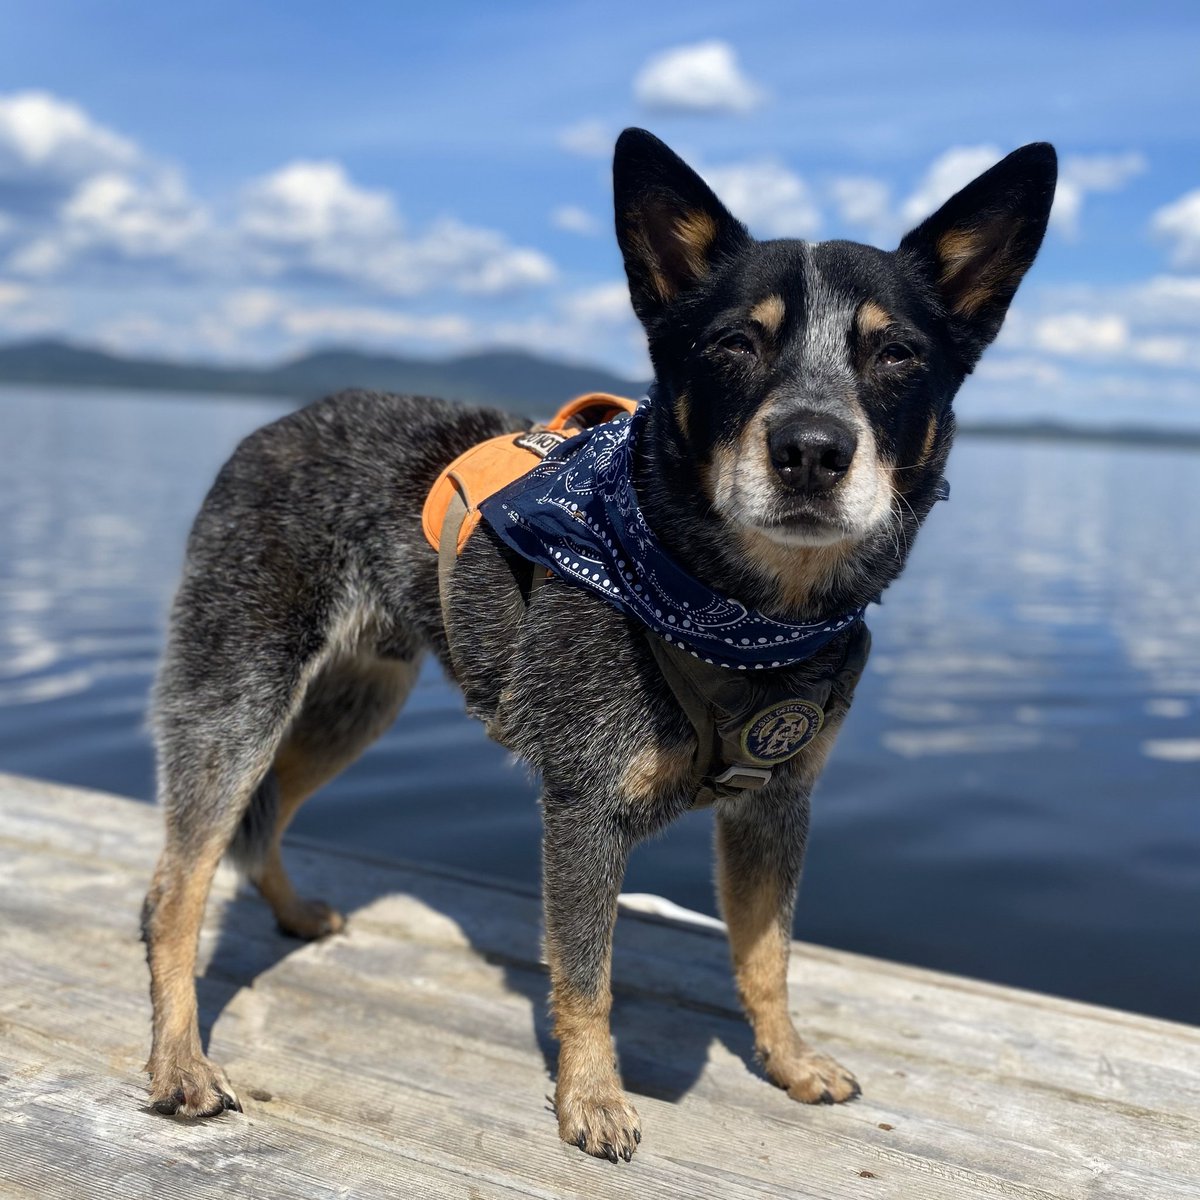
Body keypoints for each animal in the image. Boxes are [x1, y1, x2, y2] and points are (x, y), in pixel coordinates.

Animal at [140, 126, 1056, 1156]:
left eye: (896, 352)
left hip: (353, 702)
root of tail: (271, 427)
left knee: (259, 824)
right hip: (239, 692)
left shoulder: (777, 802)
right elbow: (586, 975)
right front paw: (592, 1098)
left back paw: (293, 912)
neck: (741, 614)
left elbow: (769, 956)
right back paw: (179, 1062)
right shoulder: (583, 806)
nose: (813, 449)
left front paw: (789, 1061)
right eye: (734, 342)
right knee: (180, 883)